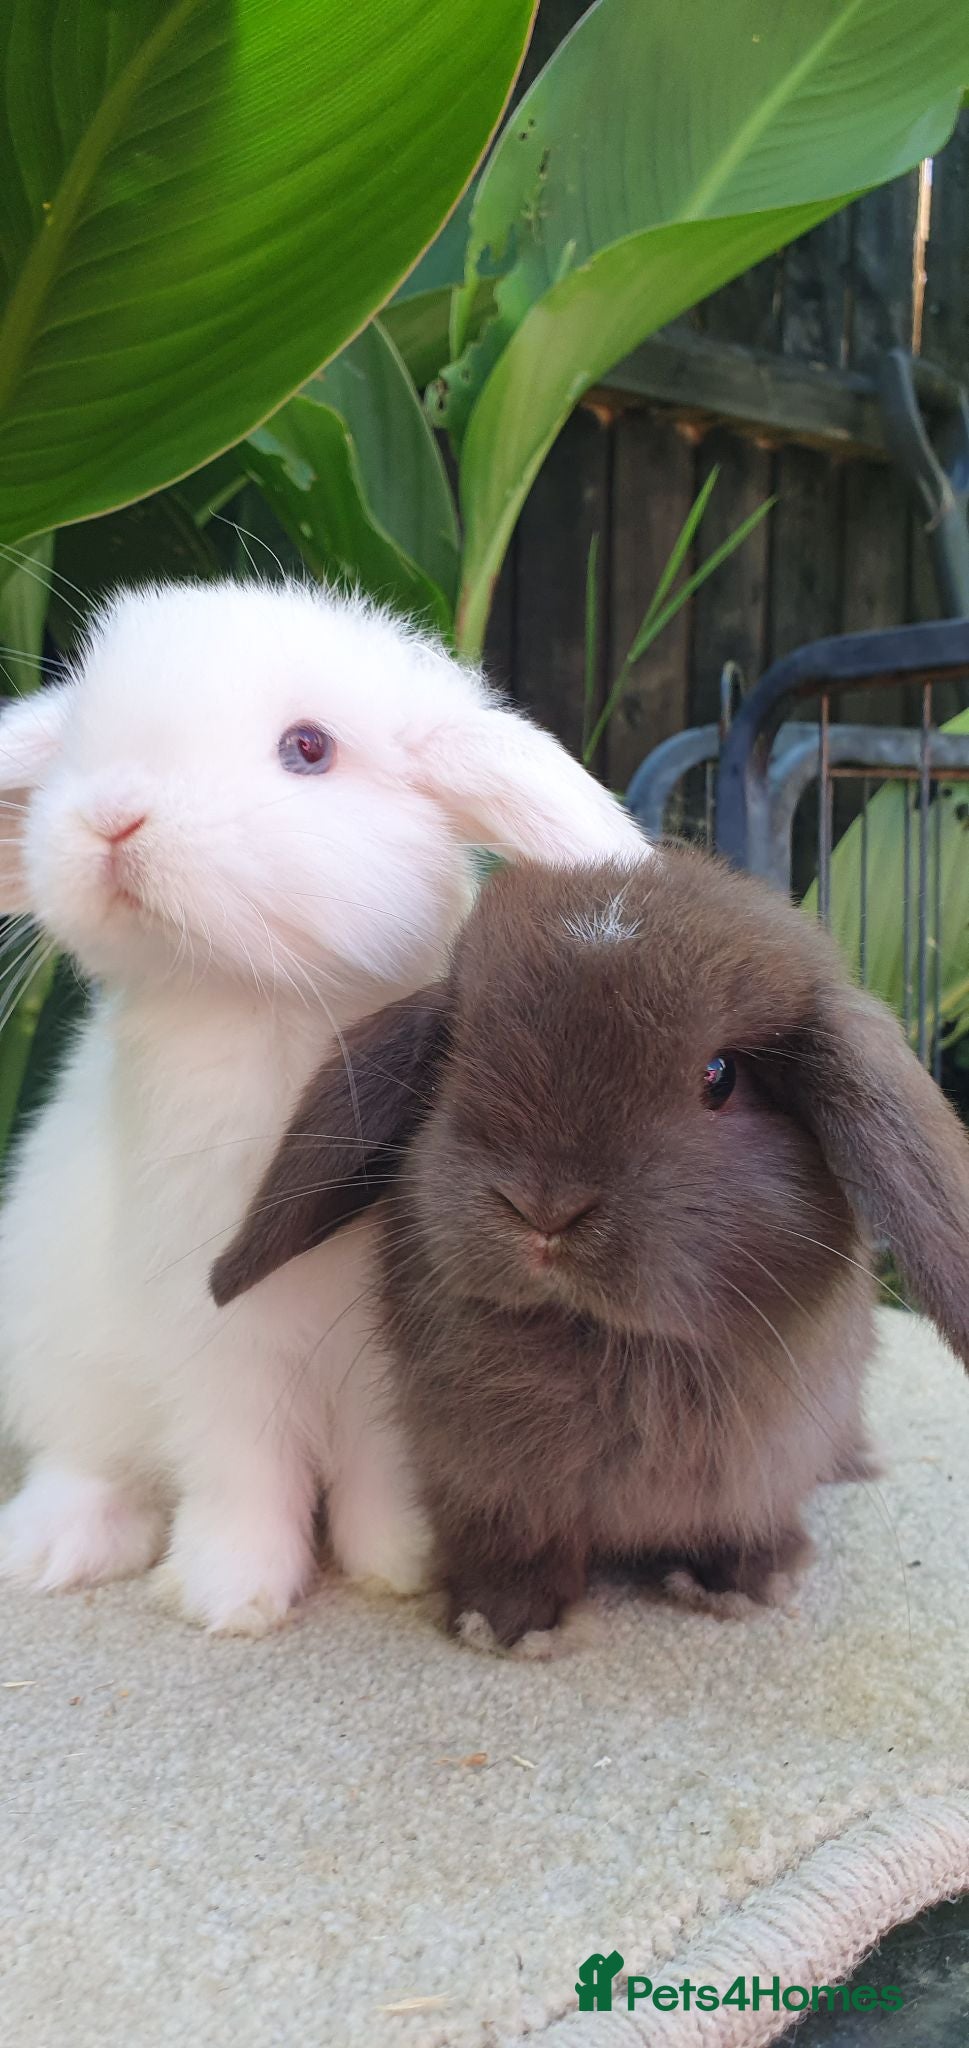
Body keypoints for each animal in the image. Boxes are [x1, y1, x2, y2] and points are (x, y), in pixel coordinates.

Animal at [0, 578, 647, 1633]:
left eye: (309, 748)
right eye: (81, 741)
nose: (112, 819)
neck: (263, 1009)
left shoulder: (401, 1356)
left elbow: (388, 1467)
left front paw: (403, 1562)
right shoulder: (215, 1339)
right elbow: (239, 1468)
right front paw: (231, 1595)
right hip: (56, 1343)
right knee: (83, 1459)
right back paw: (57, 1545)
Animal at [210, 847, 969, 1650]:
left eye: (721, 1077)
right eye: (451, 1056)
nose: (544, 1210)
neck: (606, 1340)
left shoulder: (763, 1465)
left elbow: (743, 1524)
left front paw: (743, 1584)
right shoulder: (487, 1482)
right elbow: (514, 1547)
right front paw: (501, 1624)